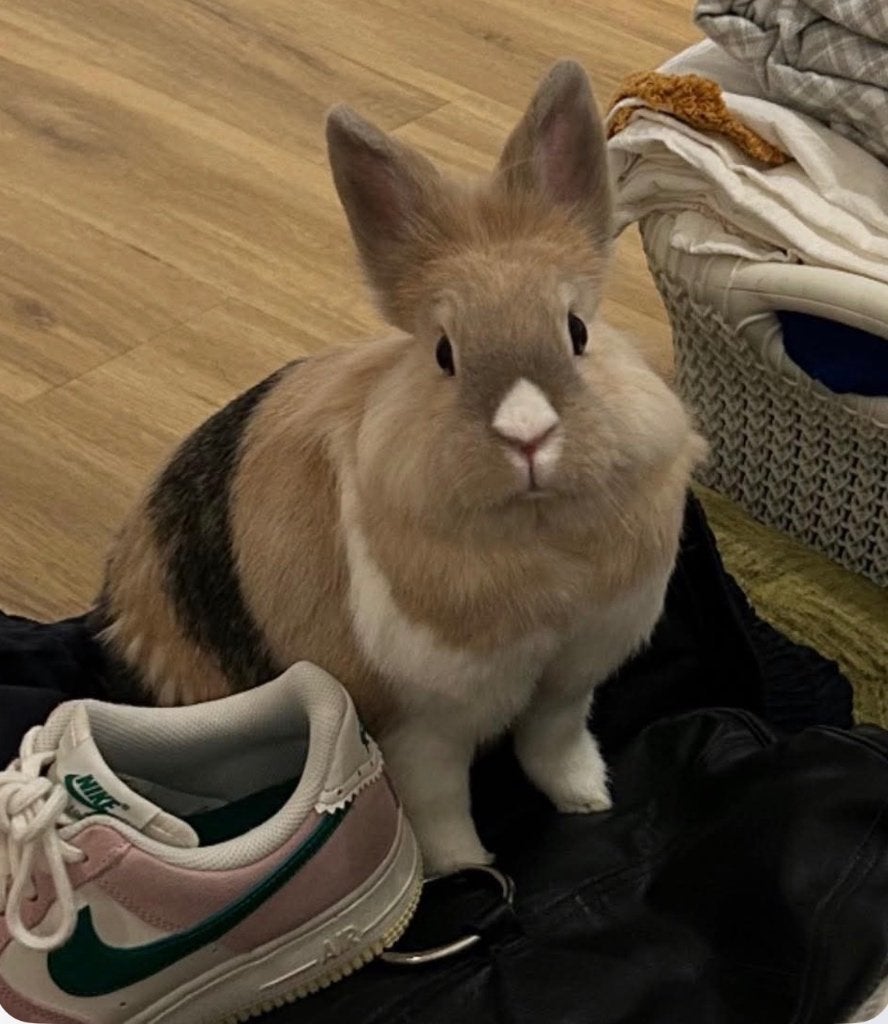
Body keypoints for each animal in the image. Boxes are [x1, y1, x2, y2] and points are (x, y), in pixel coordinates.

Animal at [95, 59, 705, 875]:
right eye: (444, 353)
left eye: (577, 331)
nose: (528, 434)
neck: (542, 542)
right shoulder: (422, 728)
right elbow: (439, 808)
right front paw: (468, 870)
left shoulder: (568, 681)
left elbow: (554, 747)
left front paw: (589, 801)